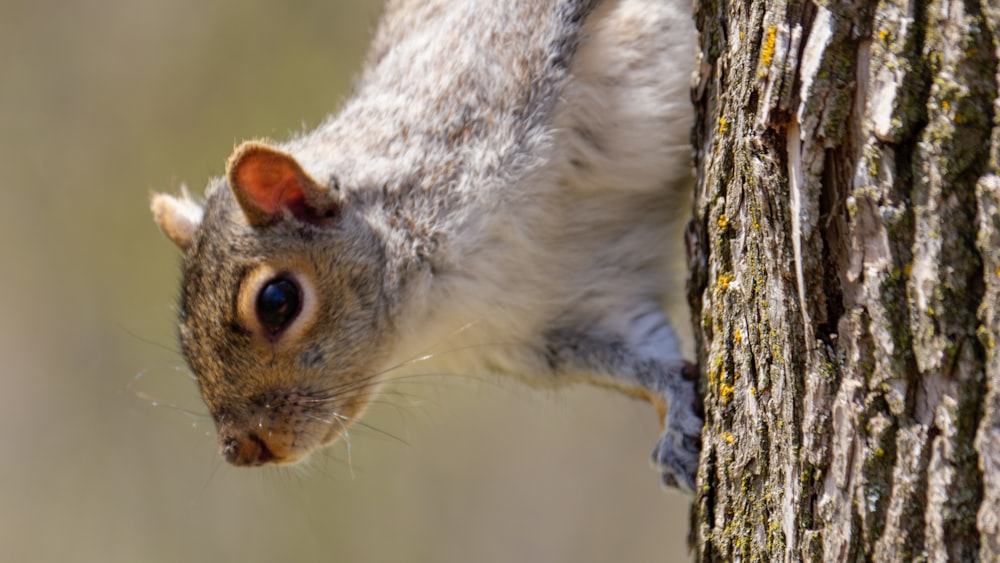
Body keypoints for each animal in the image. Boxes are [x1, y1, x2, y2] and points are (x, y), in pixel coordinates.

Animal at [154, 0, 704, 494]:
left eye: (277, 301)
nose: (242, 449)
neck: (435, 291)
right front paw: (677, 413)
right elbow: (640, 355)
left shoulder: (508, 63)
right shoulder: (561, 320)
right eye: (183, 335)